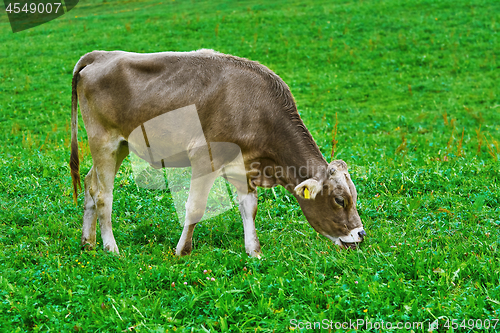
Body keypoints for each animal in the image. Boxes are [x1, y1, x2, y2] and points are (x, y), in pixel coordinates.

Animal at [69, 48, 368, 256]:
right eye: (340, 200)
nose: (361, 235)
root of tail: (101, 54)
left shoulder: (244, 166)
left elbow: (249, 207)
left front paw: (254, 251)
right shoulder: (205, 157)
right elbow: (195, 208)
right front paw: (182, 251)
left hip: (120, 146)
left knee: (90, 184)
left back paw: (88, 242)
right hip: (103, 141)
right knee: (103, 195)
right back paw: (111, 248)